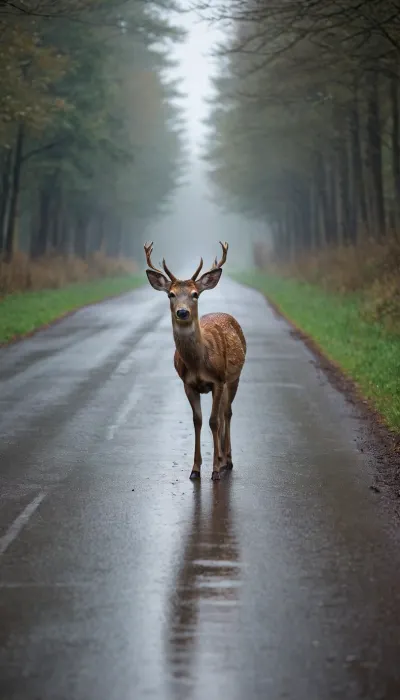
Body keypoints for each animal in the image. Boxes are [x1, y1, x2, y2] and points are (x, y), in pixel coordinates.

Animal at [144, 241, 246, 481]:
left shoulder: (218, 380)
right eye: (170, 294)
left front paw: (215, 470)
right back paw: (222, 457)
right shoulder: (188, 384)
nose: (182, 312)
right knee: (222, 413)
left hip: (234, 377)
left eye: (195, 294)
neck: (199, 363)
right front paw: (195, 469)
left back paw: (227, 460)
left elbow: (213, 421)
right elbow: (198, 421)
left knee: (226, 413)